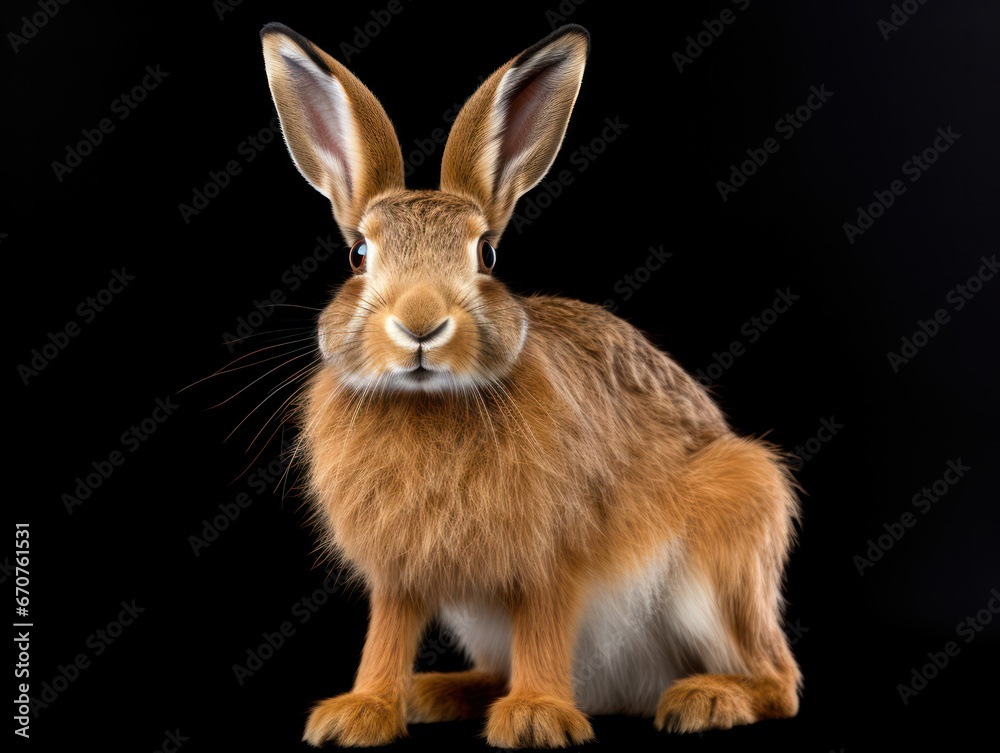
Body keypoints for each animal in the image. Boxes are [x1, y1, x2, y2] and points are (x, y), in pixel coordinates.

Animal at [260, 21, 802, 749]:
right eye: (358, 255)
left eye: (487, 254)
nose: (421, 326)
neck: (431, 402)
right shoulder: (400, 573)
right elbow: (387, 634)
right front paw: (360, 712)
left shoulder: (553, 556)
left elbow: (544, 625)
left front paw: (537, 716)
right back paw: (439, 692)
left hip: (726, 558)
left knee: (779, 680)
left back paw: (705, 699)